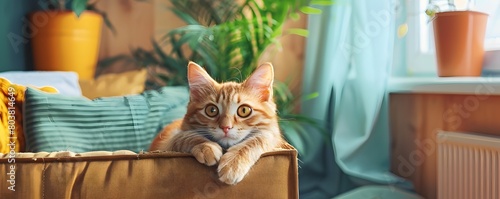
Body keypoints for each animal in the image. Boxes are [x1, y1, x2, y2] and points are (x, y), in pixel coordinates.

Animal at [149, 61, 286, 184]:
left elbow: (258, 139)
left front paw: (234, 164)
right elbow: (185, 136)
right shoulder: (168, 142)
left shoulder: (274, 136)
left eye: (244, 110)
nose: (226, 127)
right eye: (211, 110)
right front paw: (207, 147)